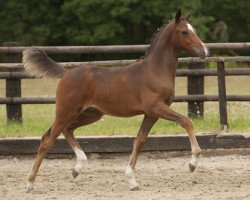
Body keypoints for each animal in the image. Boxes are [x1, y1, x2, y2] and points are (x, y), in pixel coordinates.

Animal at [23, 9, 207, 192]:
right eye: (184, 32)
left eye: (195, 30)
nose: (204, 51)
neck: (154, 70)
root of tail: (66, 72)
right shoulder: (156, 107)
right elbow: (186, 121)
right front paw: (193, 163)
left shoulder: (151, 114)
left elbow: (139, 141)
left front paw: (132, 180)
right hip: (66, 112)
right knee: (47, 140)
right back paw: (30, 183)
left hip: (90, 114)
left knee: (67, 130)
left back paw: (77, 168)